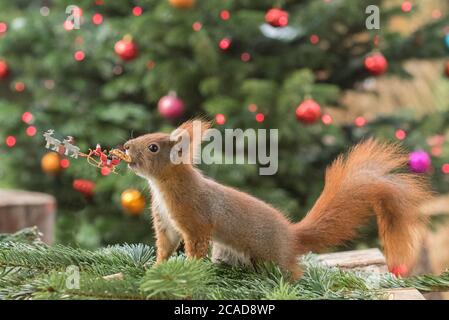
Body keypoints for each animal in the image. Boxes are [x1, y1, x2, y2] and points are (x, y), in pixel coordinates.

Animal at [123, 119, 430, 278]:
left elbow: (194, 247)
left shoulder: (195, 219)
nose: (125, 147)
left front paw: (188, 270)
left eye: (152, 147)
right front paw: (155, 268)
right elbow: (165, 247)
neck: (164, 187)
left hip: (272, 256)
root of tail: (292, 237)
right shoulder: (165, 222)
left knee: (292, 272)